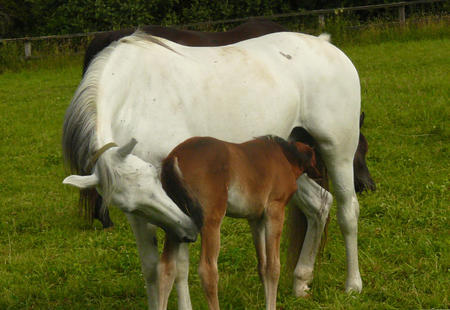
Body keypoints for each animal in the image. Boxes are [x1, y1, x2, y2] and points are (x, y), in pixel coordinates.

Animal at [62, 30, 362, 308]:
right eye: (130, 205)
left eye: (157, 179)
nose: (186, 229)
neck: (135, 98)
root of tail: (324, 42)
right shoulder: (142, 216)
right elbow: (151, 268)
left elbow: (179, 268)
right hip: (289, 169)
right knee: (320, 204)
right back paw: (301, 281)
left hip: (338, 153)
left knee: (348, 211)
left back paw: (353, 285)